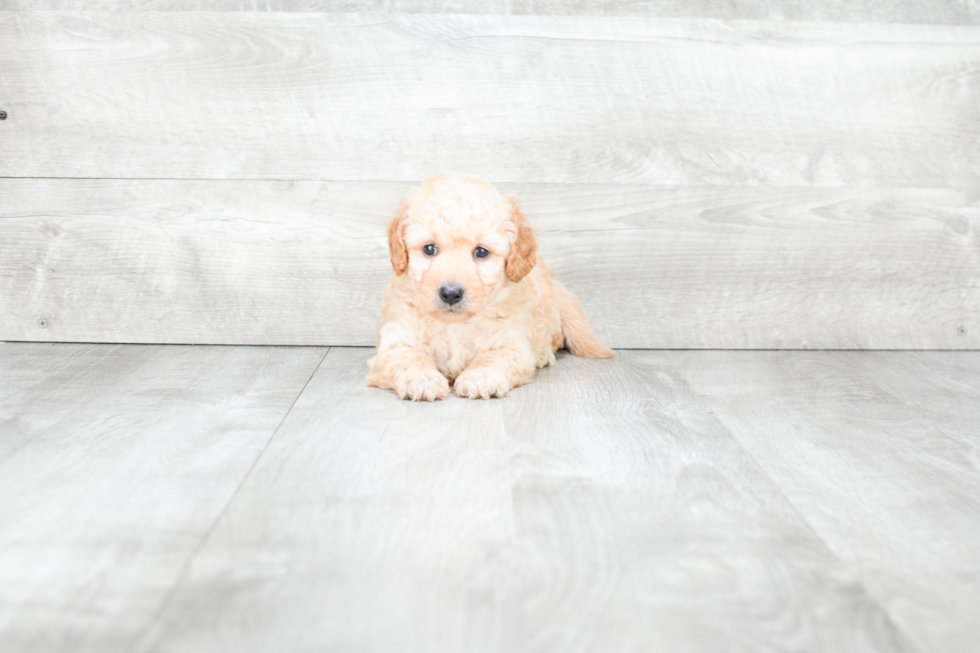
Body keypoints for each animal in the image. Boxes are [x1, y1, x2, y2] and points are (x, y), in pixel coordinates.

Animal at [368, 171, 612, 400]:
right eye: (429, 249)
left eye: (481, 252)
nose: (450, 293)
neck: (455, 325)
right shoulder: (397, 339)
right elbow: (408, 357)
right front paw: (422, 380)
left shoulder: (510, 343)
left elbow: (493, 358)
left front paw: (479, 378)